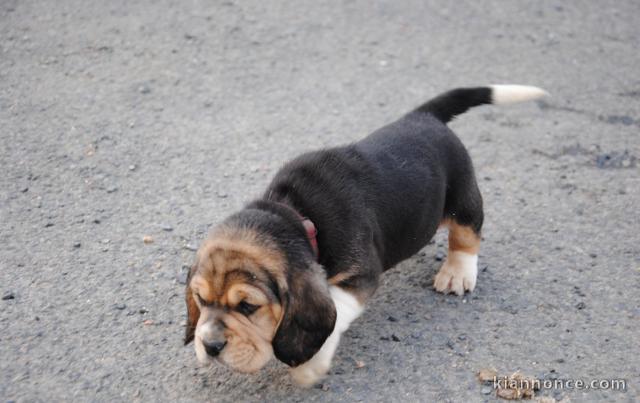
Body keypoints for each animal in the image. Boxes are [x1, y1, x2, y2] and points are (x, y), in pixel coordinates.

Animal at [182, 83, 548, 386]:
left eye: (247, 306)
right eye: (200, 299)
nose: (210, 345)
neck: (296, 213)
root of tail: (424, 116)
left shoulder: (361, 276)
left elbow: (335, 311)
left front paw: (310, 366)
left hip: (463, 200)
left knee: (467, 235)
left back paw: (457, 272)